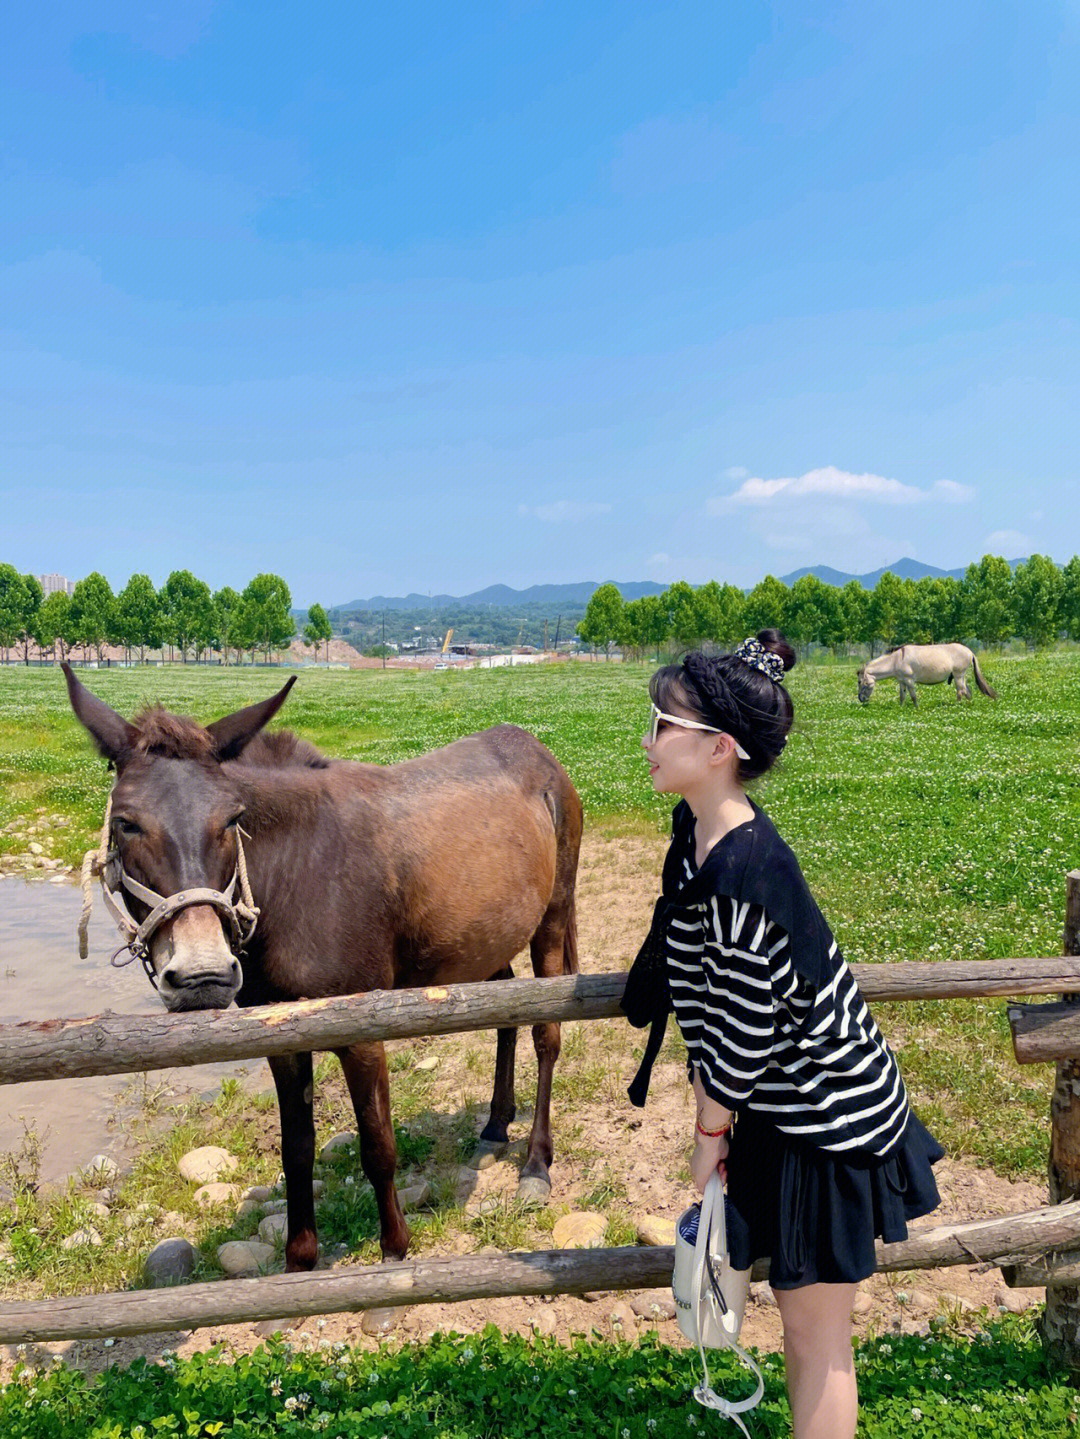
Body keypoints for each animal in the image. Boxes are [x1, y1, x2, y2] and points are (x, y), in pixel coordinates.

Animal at [857, 644, 1000, 705]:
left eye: (859, 682)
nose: (861, 699)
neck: (896, 660)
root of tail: (970, 652)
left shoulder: (909, 680)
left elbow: (913, 697)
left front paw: (916, 708)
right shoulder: (902, 682)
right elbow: (902, 696)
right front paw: (901, 708)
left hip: (958, 675)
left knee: (961, 691)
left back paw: (957, 706)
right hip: (961, 676)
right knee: (967, 691)